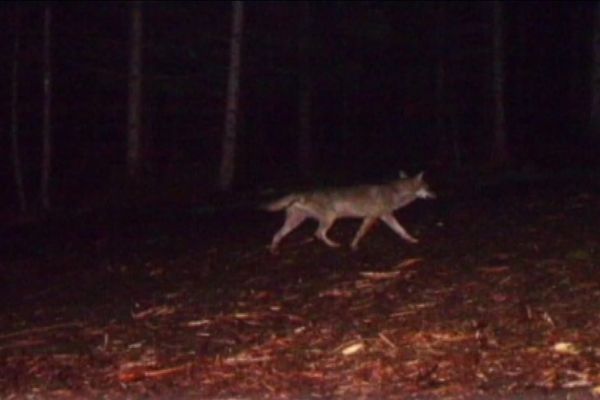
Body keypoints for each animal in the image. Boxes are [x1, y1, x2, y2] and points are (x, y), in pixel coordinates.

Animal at [262, 172, 436, 253]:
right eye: (428, 187)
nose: (435, 195)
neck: (395, 192)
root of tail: (300, 192)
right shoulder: (375, 217)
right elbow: (360, 233)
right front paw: (353, 246)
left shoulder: (380, 217)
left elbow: (401, 230)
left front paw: (411, 240)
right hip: (329, 219)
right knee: (318, 233)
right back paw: (334, 245)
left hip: (295, 222)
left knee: (277, 235)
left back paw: (273, 250)